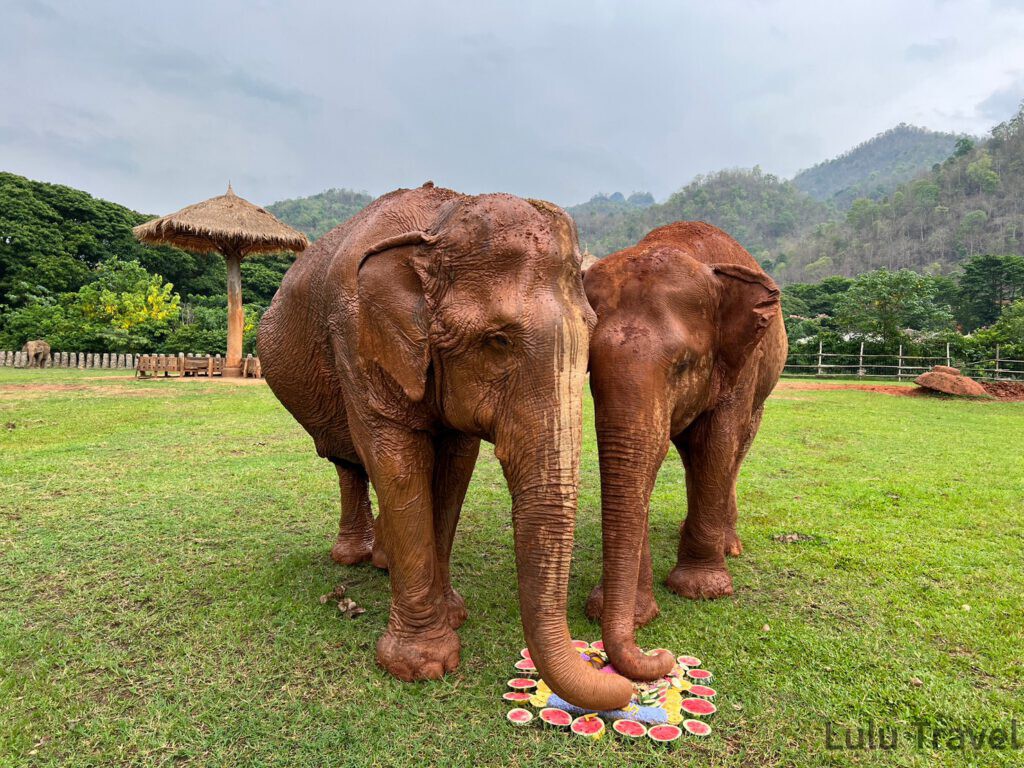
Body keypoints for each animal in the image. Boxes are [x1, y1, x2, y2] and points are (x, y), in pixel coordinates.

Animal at [258, 182, 634, 711]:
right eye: (498, 341)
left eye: (591, 332)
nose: (622, 680)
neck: (438, 224)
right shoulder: (356, 338)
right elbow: (398, 463)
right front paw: (422, 665)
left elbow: (455, 468)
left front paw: (453, 613)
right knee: (348, 461)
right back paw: (352, 557)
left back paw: (382, 560)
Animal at [582, 222, 786, 682]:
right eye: (588, 369)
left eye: (683, 365)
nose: (662, 655)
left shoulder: (741, 364)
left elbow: (717, 441)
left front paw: (701, 590)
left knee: (735, 449)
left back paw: (729, 546)